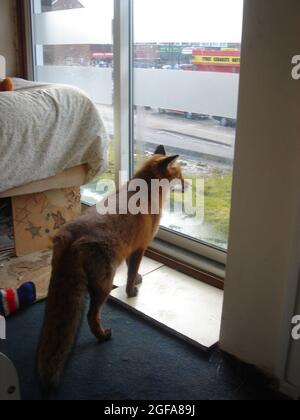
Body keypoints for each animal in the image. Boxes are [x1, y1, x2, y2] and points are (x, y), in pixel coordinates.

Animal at [36, 145, 184, 394]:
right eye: (180, 176)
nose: (187, 185)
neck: (146, 192)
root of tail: (72, 236)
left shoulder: (133, 250)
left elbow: (133, 272)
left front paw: (137, 281)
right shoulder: (140, 248)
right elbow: (131, 274)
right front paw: (131, 291)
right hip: (104, 285)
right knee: (90, 315)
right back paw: (102, 336)